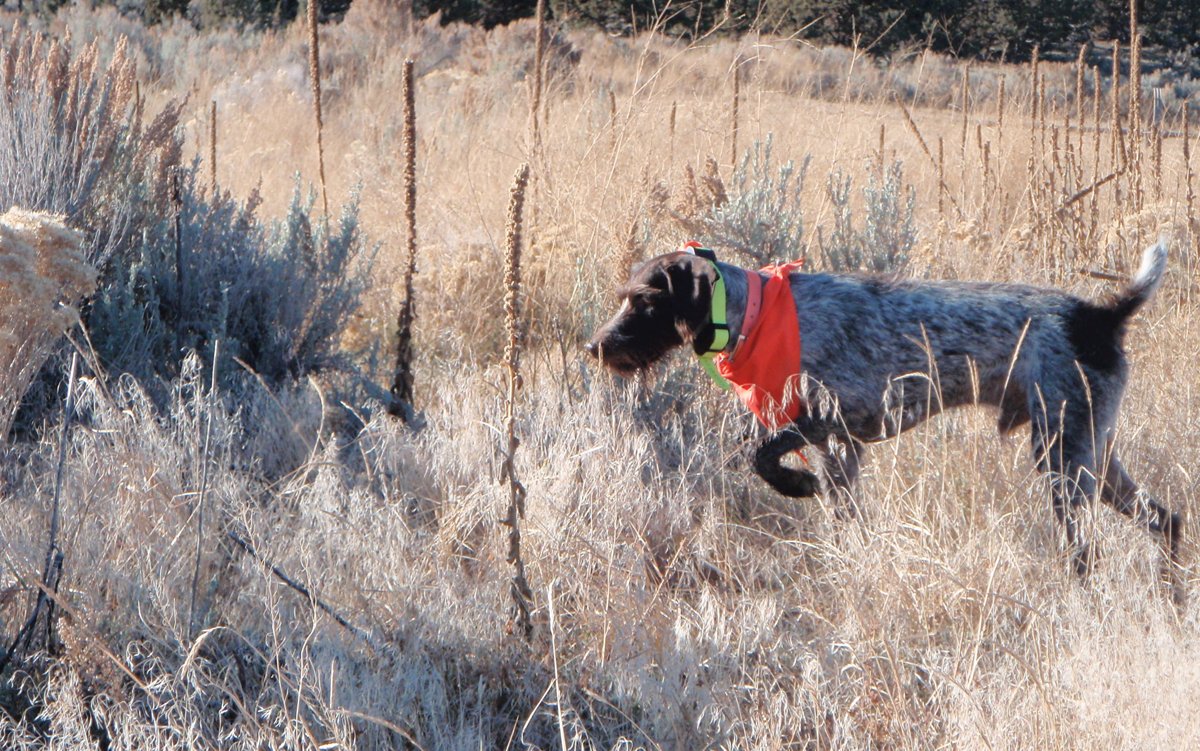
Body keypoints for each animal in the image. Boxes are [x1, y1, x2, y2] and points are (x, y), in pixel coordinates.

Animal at [586, 242, 1181, 580]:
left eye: (644, 301)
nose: (595, 347)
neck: (753, 313)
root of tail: (1103, 315)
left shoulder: (831, 422)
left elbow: (759, 454)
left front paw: (797, 486)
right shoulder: (840, 450)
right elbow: (837, 513)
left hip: (1064, 458)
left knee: (1089, 552)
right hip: (1091, 452)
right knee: (1167, 519)